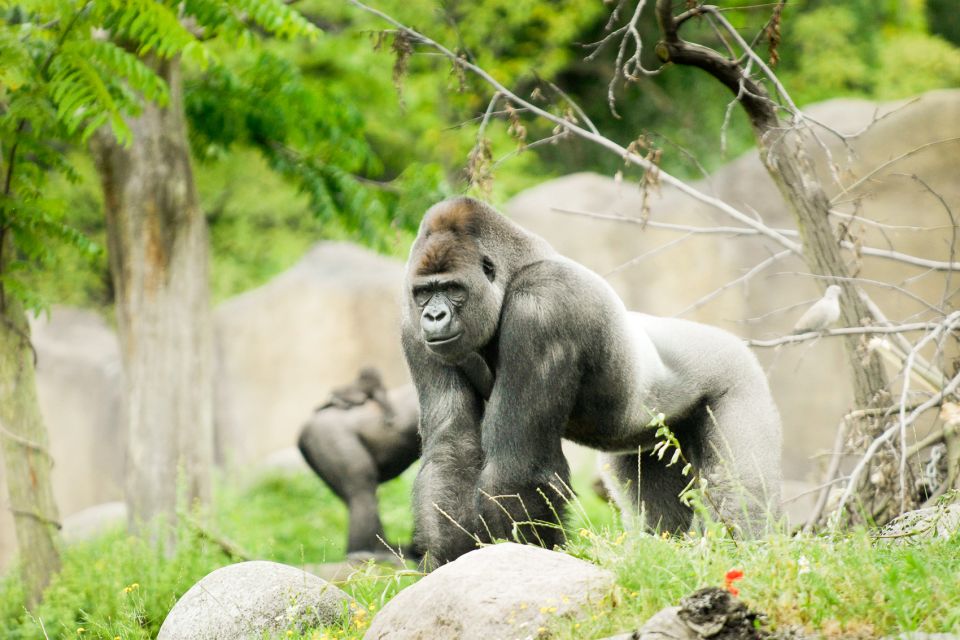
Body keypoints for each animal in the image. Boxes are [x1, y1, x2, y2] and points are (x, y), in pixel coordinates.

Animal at [402, 198, 784, 568]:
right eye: (424, 293)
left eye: (453, 289)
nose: (434, 316)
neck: (515, 271)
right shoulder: (411, 326)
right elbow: (452, 448)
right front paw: (446, 560)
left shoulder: (543, 308)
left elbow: (517, 466)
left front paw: (525, 554)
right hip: (653, 438)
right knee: (657, 508)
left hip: (738, 374)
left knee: (736, 490)